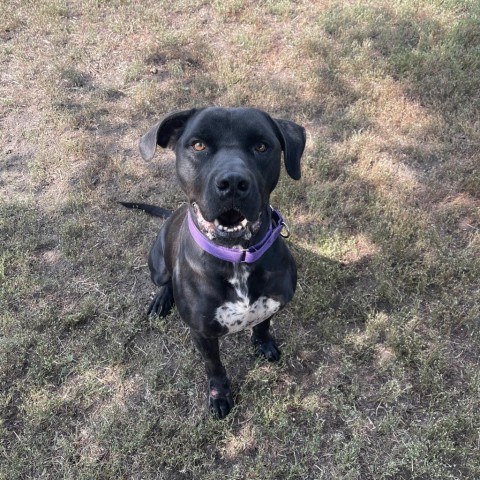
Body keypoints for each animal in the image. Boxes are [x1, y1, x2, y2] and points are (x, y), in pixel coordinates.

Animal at [123, 108, 304, 416]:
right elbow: (214, 367)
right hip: (158, 264)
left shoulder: (272, 304)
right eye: (198, 145)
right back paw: (161, 301)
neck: (237, 257)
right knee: (165, 280)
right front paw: (220, 396)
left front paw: (263, 343)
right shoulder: (202, 334)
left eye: (262, 146)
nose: (232, 183)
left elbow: (263, 324)